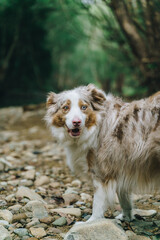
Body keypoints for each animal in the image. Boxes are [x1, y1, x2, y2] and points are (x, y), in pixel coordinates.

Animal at [44, 85, 160, 223]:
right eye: (65, 107)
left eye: (84, 107)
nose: (77, 122)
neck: (97, 125)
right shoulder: (120, 169)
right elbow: (124, 198)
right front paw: (126, 217)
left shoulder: (100, 172)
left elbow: (98, 203)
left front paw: (91, 222)